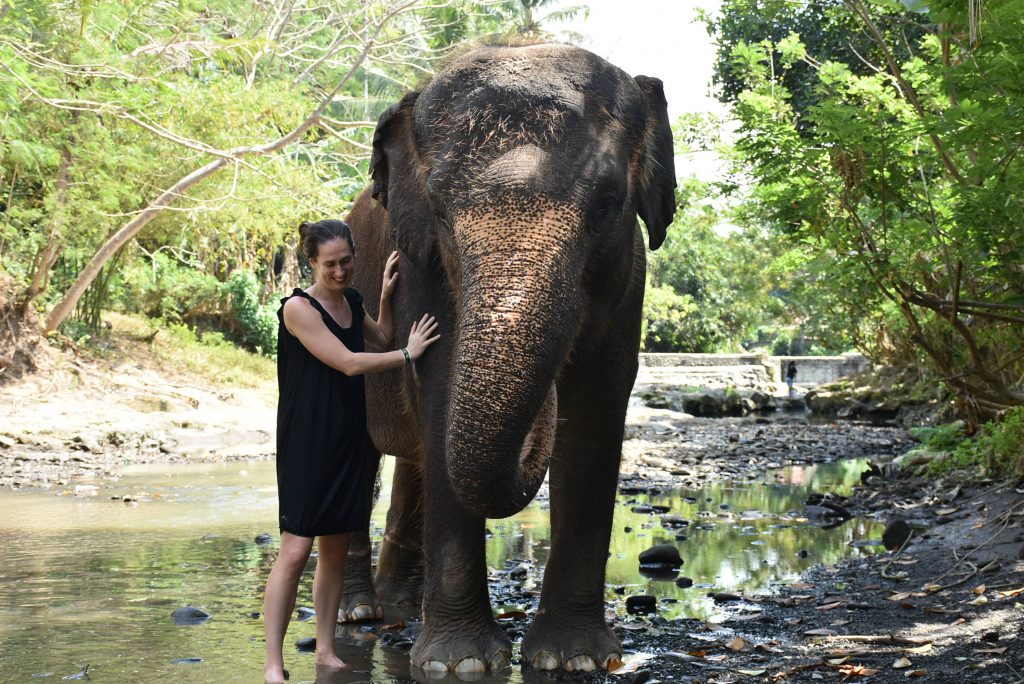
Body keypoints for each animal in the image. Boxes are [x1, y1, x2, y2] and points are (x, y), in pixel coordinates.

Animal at [339, 40, 675, 675]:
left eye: (609, 202)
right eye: (439, 208)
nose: (545, 405)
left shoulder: (630, 280)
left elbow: (596, 413)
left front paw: (575, 659)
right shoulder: (419, 268)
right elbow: (441, 396)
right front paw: (457, 665)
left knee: (413, 461)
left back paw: (399, 607)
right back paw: (361, 614)